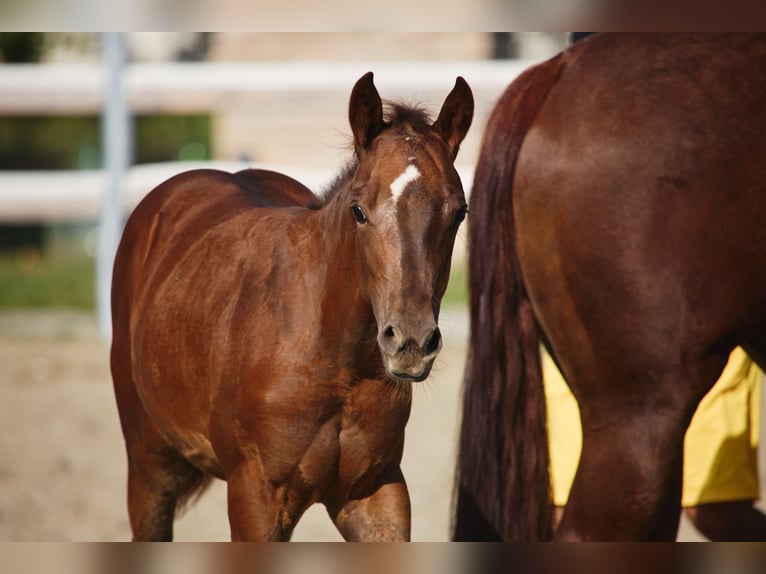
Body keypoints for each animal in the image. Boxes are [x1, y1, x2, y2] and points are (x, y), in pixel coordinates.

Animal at [110, 71, 473, 541]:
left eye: (459, 212)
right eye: (359, 210)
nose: (410, 342)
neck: (336, 363)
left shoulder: (377, 493)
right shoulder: (257, 500)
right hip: (149, 467)